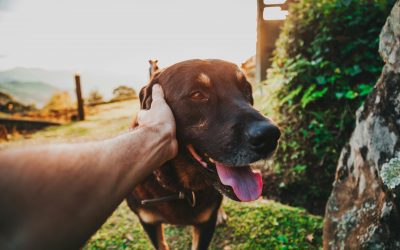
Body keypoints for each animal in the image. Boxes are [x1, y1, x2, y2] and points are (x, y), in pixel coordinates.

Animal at [126, 59, 280, 249]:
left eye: (246, 89)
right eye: (197, 94)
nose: (270, 136)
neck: (181, 189)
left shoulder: (206, 224)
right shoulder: (148, 222)